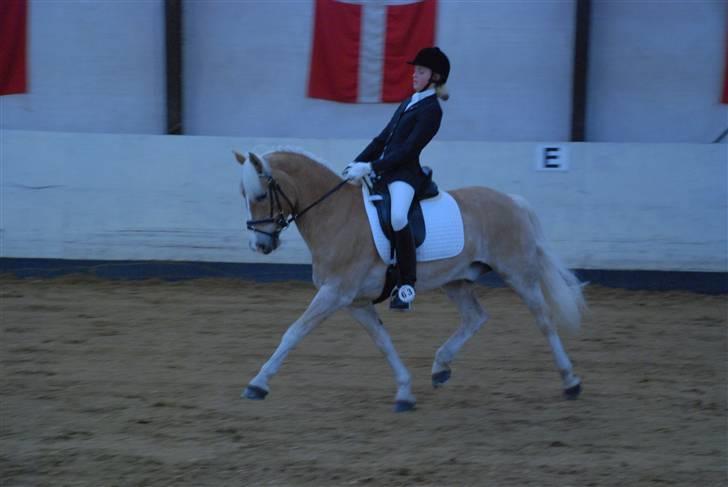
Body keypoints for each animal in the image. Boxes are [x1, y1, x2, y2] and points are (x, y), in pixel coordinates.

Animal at [233, 149, 584, 412]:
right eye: (244, 196)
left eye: (261, 195)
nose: (259, 245)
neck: (334, 215)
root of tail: (512, 201)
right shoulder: (355, 302)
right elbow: (383, 342)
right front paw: (404, 392)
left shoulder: (335, 293)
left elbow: (293, 333)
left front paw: (257, 384)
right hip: (455, 280)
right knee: (475, 317)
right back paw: (441, 367)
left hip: (518, 273)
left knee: (544, 320)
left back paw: (570, 382)